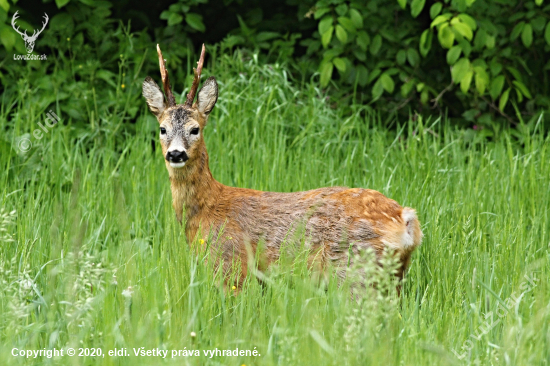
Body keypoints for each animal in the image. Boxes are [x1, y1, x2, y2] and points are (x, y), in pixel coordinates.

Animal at [142, 44, 422, 288]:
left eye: (195, 129)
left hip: (356, 268)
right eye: (162, 129)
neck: (206, 209)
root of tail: (405, 219)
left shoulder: (231, 265)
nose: (176, 154)